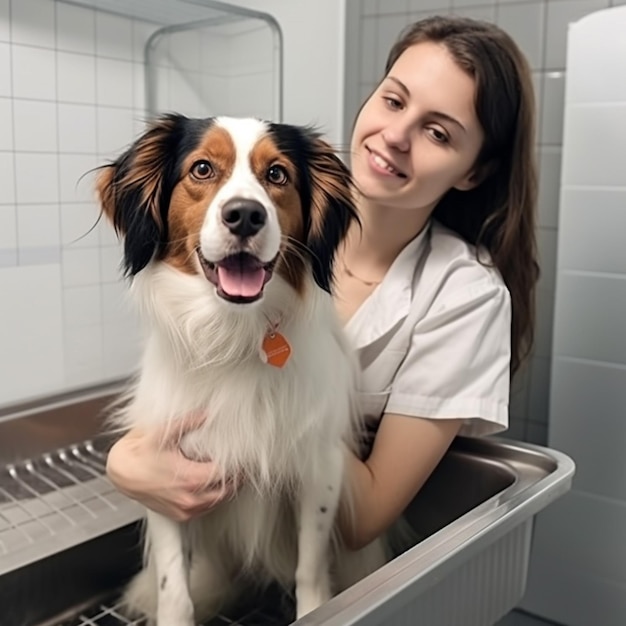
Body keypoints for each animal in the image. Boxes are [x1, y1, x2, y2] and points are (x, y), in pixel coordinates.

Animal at [95, 113, 386, 624]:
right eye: (202, 168)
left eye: (277, 174)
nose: (246, 215)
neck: (232, 333)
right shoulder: (162, 476)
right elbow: (174, 586)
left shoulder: (320, 469)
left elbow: (310, 569)